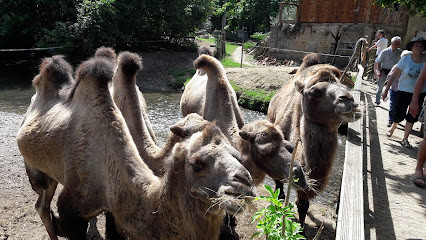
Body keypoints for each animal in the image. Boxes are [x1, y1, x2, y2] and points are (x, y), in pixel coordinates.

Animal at [15, 54, 256, 240]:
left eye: (236, 155)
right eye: (197, 163)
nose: (244, 185)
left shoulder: (113, 210)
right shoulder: (73, 210)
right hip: (37, 170)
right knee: (42, 205)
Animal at [268, 53, 362, 228]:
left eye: (344, 86)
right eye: (313, 92)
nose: (348, 100)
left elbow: (303, 204)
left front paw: (301, 230)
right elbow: (280, 193)